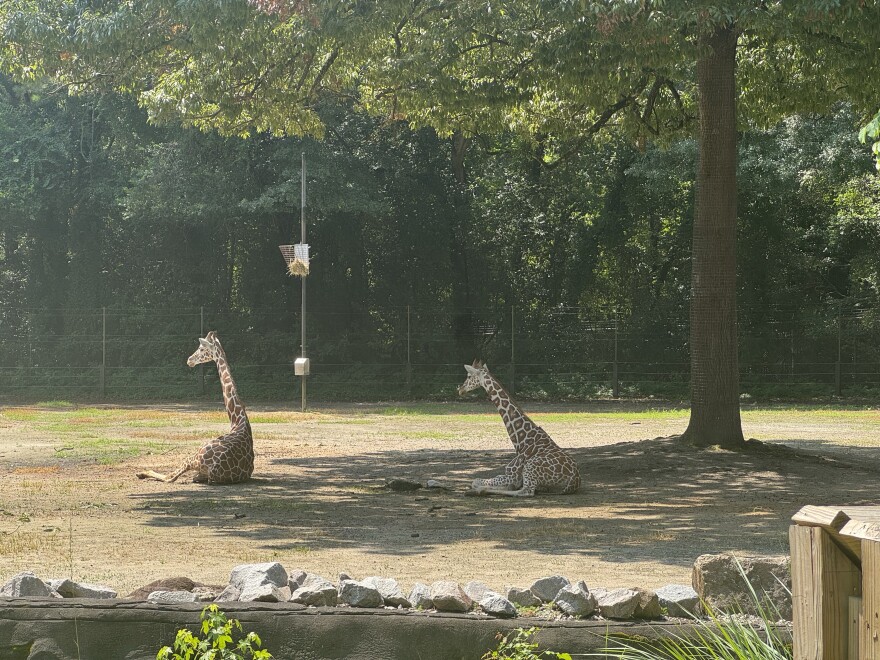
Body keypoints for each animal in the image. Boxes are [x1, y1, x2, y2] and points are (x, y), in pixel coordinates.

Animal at [137, 331, 254, 485]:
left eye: (201, 348)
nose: (189, 360)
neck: (237, 419)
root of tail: (215, 469)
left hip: (194, 456)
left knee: (170, 477)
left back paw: (141, 472)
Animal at [458, 360, 580, 497]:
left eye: (469, 376)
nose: (461, 390)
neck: (520, 440)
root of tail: (574, 480)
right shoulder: (509, 476)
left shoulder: (512, 475)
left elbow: (475, 481)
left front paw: (478, 488)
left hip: (530, 467)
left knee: (526, 491)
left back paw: (478, 491)